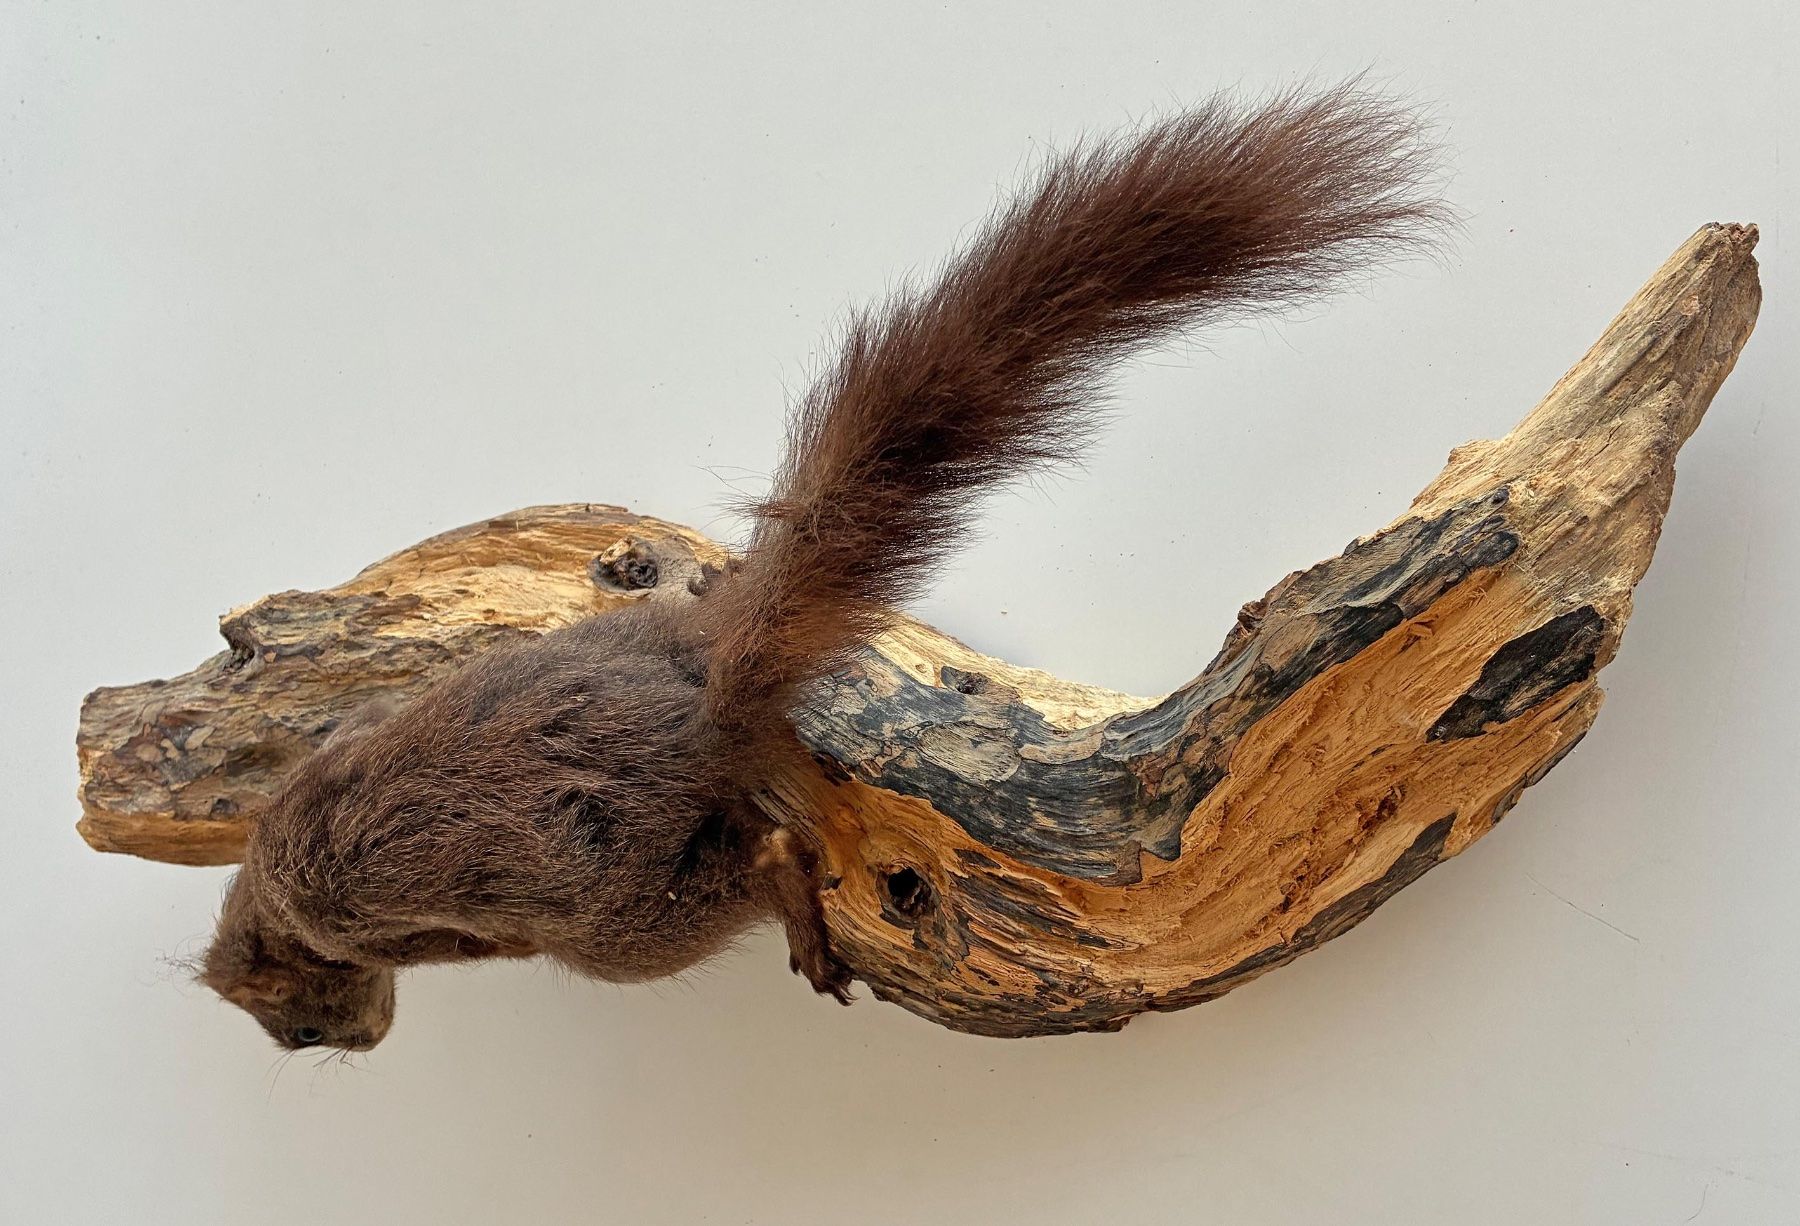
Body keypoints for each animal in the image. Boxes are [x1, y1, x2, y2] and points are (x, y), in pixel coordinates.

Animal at [199, 84, 1444, 1052]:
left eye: (297, 1026)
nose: (359, 1041)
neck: (278, 864)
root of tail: (700, 685)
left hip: (621, 912)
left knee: (758, 858)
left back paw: (798, 908)